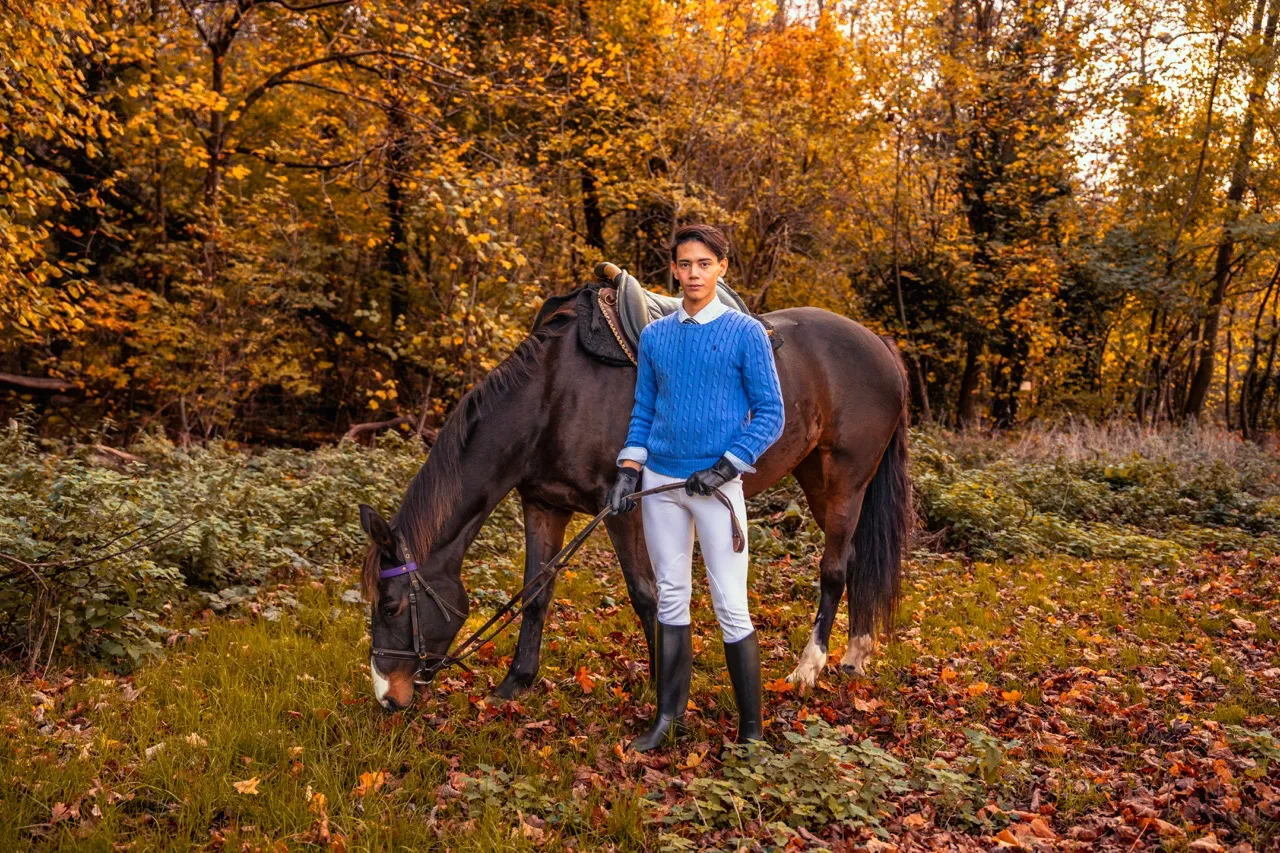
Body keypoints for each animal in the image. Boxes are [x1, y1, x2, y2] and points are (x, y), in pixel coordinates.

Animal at [358, 286, 911, 712]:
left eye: (392, 607)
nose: (387, 696)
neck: (553, 398)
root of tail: (878, 343)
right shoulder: (544, 505)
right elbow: (537, 594)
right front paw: (516, 682)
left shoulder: (620, 509)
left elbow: (646, 595)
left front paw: (661, 685)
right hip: (817, 479)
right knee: (854, 560)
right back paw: (855, 654)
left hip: (846, 481)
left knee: (833, 569)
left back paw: (807, 668)